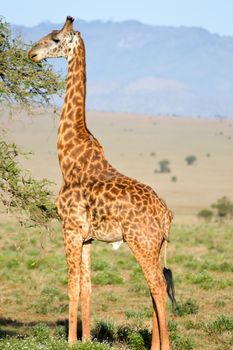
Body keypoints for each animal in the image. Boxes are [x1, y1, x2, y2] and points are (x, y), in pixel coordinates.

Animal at [28, 17, 175, 350]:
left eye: (55, 39)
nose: (32, 53)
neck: (68, 158)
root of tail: (166, 215)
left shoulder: (69, 228)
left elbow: (71, 286)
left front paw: (70, 340)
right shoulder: (87, 237)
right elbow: (87, 287)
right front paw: (85, 338)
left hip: (141, 241)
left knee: (157, 286)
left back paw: (164, 346)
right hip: (156, 245)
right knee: (155, 286)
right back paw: (153, 345)